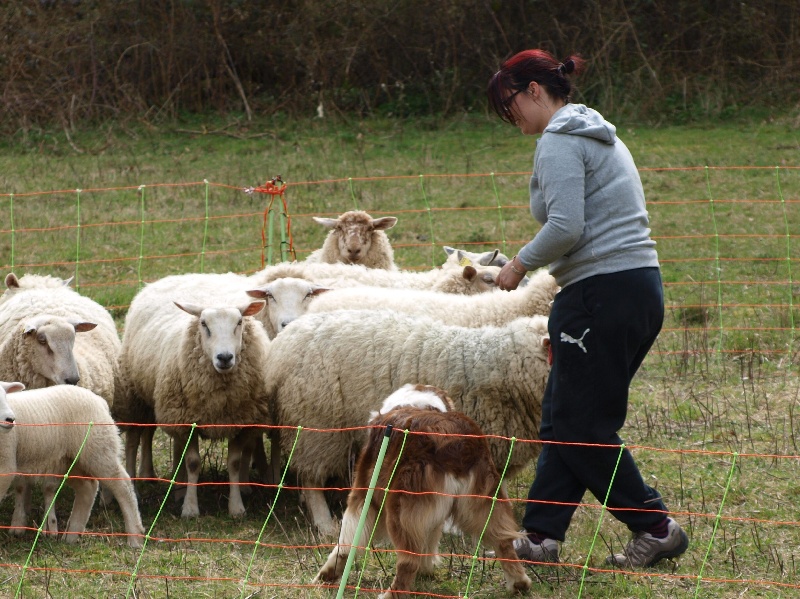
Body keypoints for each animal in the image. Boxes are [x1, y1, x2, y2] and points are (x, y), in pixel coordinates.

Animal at [0, 384, 145, 548]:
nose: (10, 420)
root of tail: (99, 400)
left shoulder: (6, 466)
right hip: (70, 461)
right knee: (87, 488)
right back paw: (71, 536)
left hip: (99, 448)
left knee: (122, 486)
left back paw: (135, 537)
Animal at [115, 274, 272, 516]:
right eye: (204, 324)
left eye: (239, 322)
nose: (224, 357)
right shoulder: (189, 422)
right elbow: (193, 463)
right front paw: (190, 508)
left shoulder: (239, 420)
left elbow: (234, 464)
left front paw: (236, 507)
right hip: (138, 397)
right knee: (135, 439)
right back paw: (137, 483)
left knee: (160, 439)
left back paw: (171, 485)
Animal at [314, 384, 532, 599]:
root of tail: (454, 440)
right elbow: (430, 539)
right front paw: (426, 570)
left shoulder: (363, 494)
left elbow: (347, 540)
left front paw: (326, 574)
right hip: (484, 503)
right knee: (503, 541)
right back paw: (519, 583)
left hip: (400, 509)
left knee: (408, 560)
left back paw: (391, 594)